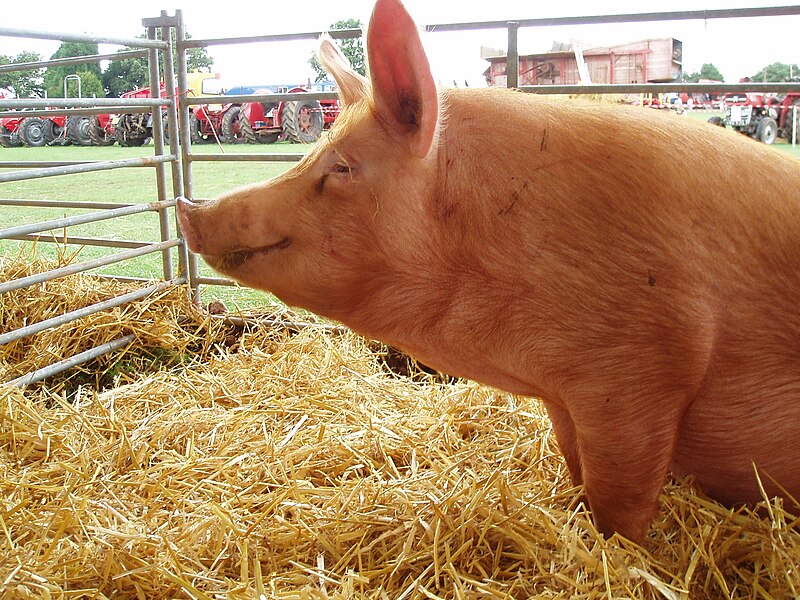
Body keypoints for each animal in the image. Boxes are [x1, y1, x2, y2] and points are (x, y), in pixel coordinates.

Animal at [178, 0, 800, 544]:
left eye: (343, 167)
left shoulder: (646, 369)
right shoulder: (567, 401)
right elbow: (577, 473)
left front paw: (616, 551)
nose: (189, 208)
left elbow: (621, 504)